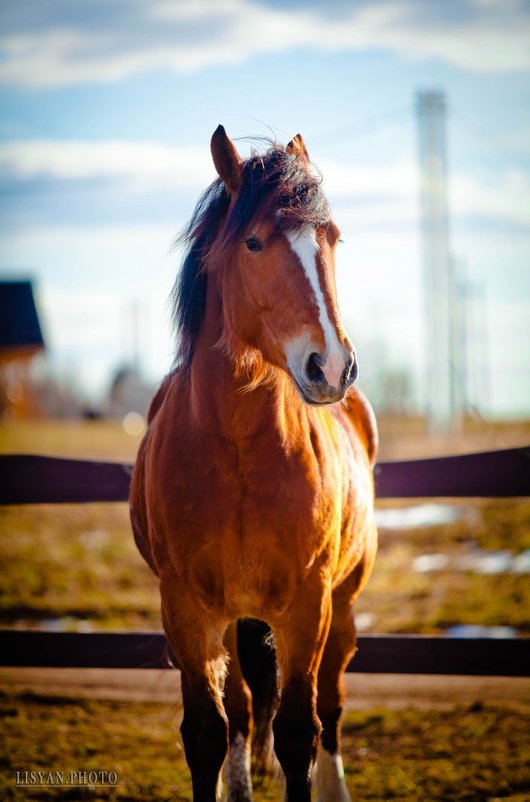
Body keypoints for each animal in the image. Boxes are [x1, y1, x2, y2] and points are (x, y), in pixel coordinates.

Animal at [130, 128, 378, 800]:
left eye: (332, 237)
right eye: (254, 241)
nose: (331, 367)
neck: (237, 449)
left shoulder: (307, 605)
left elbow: (299, 732)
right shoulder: (185, 608)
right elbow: (206, 732)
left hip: (341, 607)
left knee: (331, 707)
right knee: (241, 709)